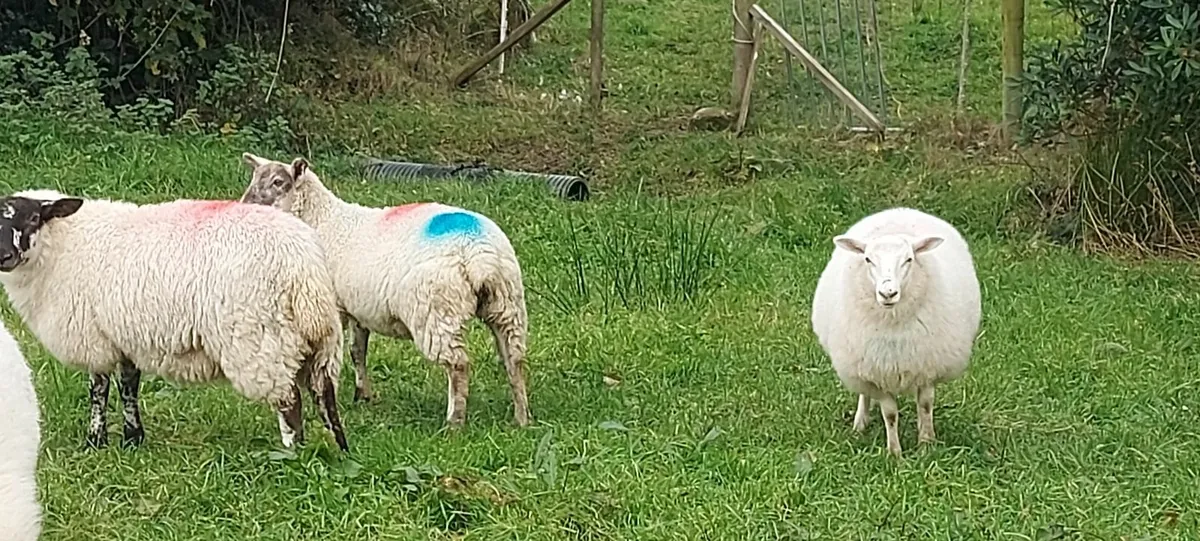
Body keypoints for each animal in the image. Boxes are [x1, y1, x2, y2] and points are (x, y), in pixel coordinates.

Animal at [0, 189, 349, 451]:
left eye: (34, 218)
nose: (5, 257)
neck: (62, 245)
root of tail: (303, 268)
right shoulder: (125, 335)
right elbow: (129, 386)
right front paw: (133, 438)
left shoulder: (94, 337)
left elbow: (98, 390)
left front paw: (95, 441)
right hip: (319, 339)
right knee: (324, 394)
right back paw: (338, 449)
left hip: (261, 338)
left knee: (289, 400)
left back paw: (292, 453)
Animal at [239, 153, 531, 428]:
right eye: (254, 179)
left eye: (278, 182)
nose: (244, 207)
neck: (323, 220)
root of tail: (479, 252)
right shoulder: (357, 307)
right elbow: (357, 351)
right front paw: (363, 396)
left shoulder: (330, 307)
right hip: (506, 303)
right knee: (514, 358)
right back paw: (522, 418)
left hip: (438, 312)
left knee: (458, 365)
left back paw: (455, 422)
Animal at [810, 207, 981, 456]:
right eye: (868, 259)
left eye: (909, 259)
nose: (888, 293)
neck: (893, 320)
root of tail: (898, 210)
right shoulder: (878, 372)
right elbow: (890, 414)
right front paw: (895, 453)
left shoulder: (926, 366)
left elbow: (925, 405)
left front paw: (926, 444)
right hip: (862, 361)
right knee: (864, 393)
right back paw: (860, 423)